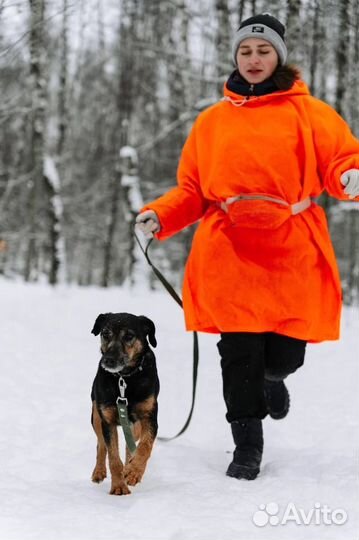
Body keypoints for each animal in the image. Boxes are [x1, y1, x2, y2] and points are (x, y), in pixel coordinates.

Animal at [90, 312, 159, 494]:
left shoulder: (150, 417)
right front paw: (119, 487)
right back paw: (99, 471)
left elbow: (145, 446)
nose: (108, 360)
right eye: (105, 333)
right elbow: (113, 458)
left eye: (129, 336)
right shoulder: (107, 418)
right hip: (96, 416)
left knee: (131, 445)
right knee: (101, 445)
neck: (125, 378)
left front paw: (134, 472)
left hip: (135, 426)